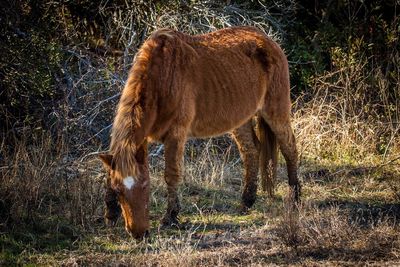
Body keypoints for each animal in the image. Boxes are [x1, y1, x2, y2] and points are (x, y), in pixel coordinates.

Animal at [99, 26, 300, 241]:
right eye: (119, 191)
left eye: (146, 185)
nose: (139, 233)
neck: (162, 78)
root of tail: (267, 39)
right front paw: (110, 215)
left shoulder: (176, 134)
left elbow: (171, 174)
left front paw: (170, 217)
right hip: (241, 120)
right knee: (251, 152)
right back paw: (247, 201)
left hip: (275, 111)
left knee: (289, 149)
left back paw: (295, 198)